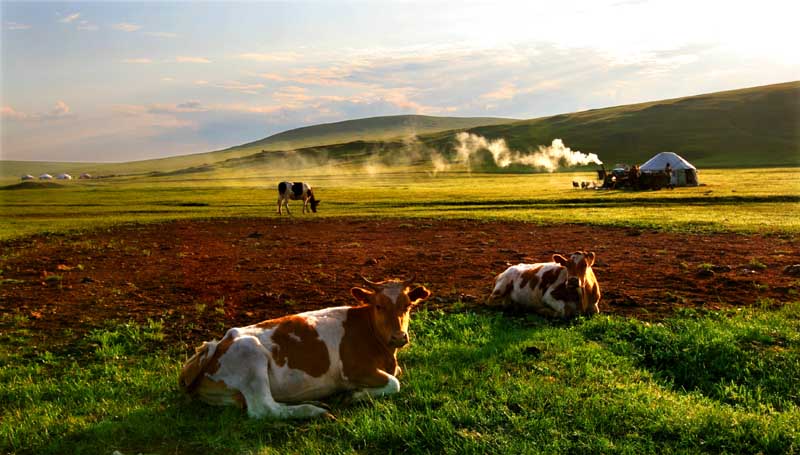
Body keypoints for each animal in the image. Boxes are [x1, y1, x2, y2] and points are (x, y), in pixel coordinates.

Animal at [179, 276, 434, 418]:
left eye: (408, 305)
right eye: (379, 306)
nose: (399, 337)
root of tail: (216, 344)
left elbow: (396, 376)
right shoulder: (353, 370)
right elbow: (395, 383)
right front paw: (354, 395)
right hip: (250, 356)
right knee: (264, 409)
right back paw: (313, 411)